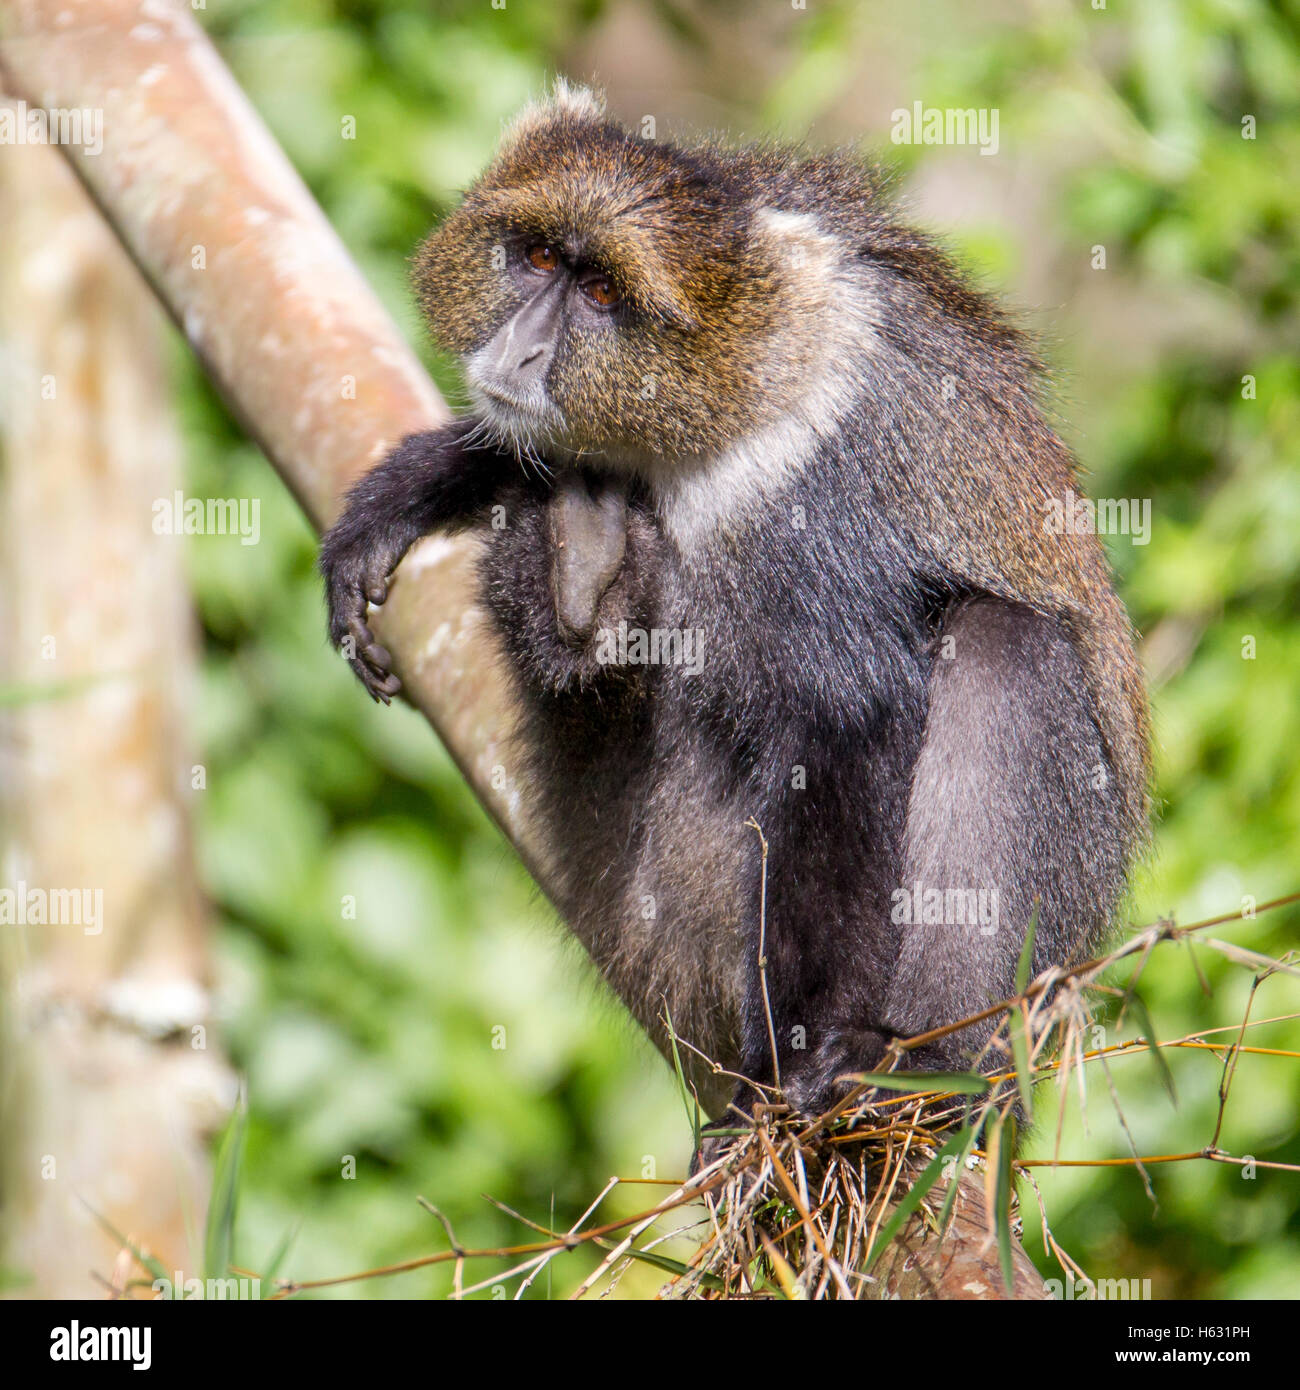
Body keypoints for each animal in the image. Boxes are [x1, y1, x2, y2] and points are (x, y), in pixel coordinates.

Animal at [320, 81, 1150, 1127]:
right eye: (540, 259)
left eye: (602, 296)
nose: (522, 351)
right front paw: (408, 495)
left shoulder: (815, 483)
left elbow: (849, 726)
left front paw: (802, 1061)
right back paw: (582, 575)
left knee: (1009, 645)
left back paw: (919, 1066)